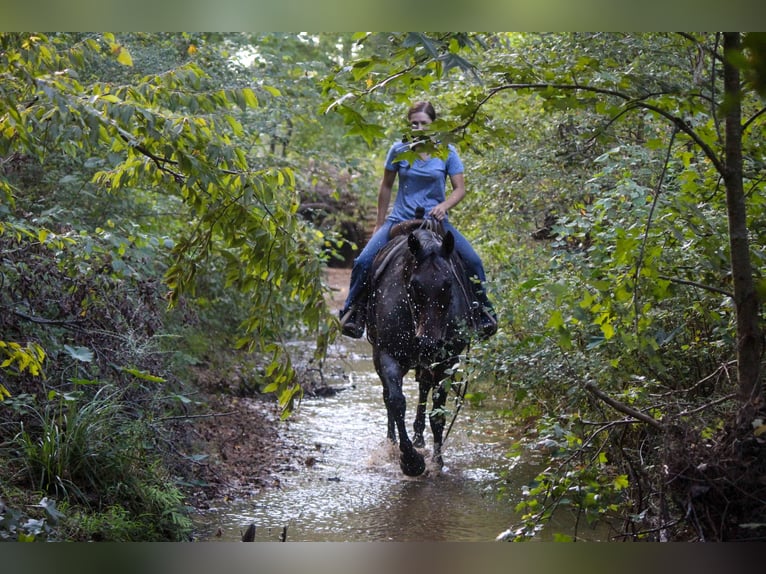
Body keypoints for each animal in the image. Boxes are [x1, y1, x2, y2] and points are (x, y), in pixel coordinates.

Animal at [364, 220, 480, 476]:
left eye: (448, 284)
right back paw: (392, 441)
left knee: (424, 389)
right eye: (414, 286)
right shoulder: (387, 354)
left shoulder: (447, 360)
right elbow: (396, 401)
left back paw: (419, 438)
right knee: (388, 396)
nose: (428, 343)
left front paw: (437, 462)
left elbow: (438, 413)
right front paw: (410, 461)